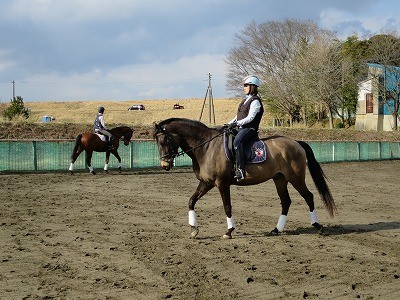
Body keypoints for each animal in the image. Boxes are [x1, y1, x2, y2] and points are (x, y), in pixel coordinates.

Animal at [155, 118, 336, 238]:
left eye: (164, 141)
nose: (165, 165)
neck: (206, 147)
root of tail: (296, 142)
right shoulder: (206, 183)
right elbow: (191, 201)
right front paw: (194, 229)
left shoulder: (222, 184)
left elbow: (227, 207)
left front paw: (229, 231)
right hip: (280, 179)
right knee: (286, 201)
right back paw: (277, 229)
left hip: (295, 178)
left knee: (308, 196)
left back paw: (318, 226)